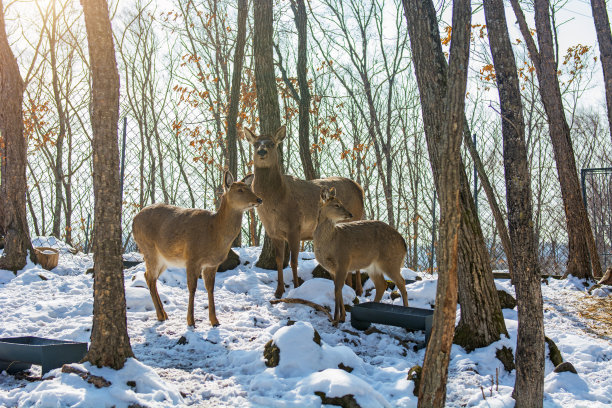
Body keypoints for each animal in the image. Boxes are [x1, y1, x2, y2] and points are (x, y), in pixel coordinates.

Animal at [131, 171, 260, 326]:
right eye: (240, 190)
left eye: (249, 188)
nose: (259, 199)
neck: (214, 231)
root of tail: (133, 220)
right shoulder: (192, 258)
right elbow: (192, 288)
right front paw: (191, 321)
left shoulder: (212, 264)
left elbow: (210, 288)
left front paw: (214, 320)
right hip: (148, 248)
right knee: (150, 277)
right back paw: (161, 315)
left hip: (164, 259)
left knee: (149, 277)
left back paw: (164, 314)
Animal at [243, 126, 366, 298]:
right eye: (255, 144)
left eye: (272, 143)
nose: (261, 151)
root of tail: (359, 188)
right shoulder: (273, 232)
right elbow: (279, 261)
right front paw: (278, 291)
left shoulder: (295, 226)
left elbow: (294, 261)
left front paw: (295, 287)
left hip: (355, 218)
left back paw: (358, 290)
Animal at [314, 186, 408, 324]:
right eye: (336, 205)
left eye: (341, 202)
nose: (350, 214)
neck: (331, 241)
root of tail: (404, 244)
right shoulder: (331, 269)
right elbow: (338, 289)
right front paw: (342, 317)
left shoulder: (343, 261)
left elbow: (338, 289)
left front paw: (336, 319)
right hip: (373, 266)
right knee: (382, 285)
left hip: (391, 261)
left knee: (401, 282)